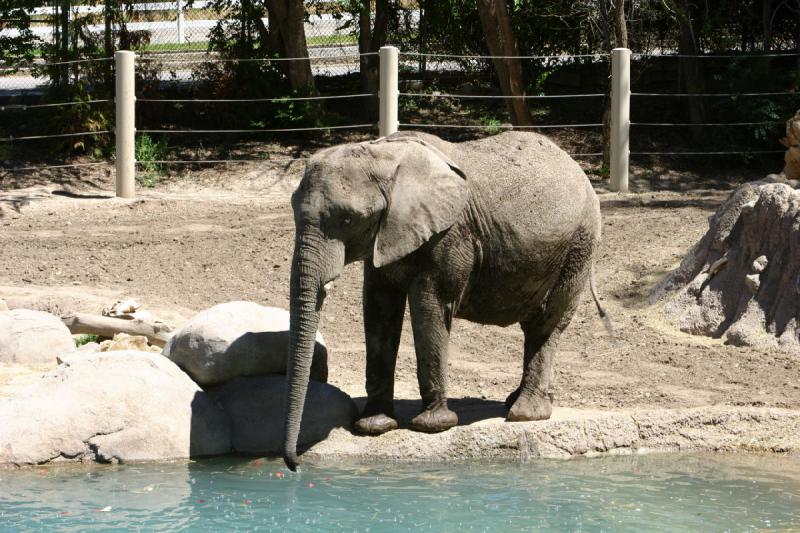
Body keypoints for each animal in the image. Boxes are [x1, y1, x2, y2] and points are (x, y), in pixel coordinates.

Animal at [282, 130, 608, 470]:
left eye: (348, 219)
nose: (294, 464)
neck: (383, 154)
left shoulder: (450, 236)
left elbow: (430, 305)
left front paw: (432, 426)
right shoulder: (387, 237)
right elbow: (379, 308)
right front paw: (374, 426)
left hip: (579, 246)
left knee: (545, 325)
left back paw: (525, 413)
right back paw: (514, 402)